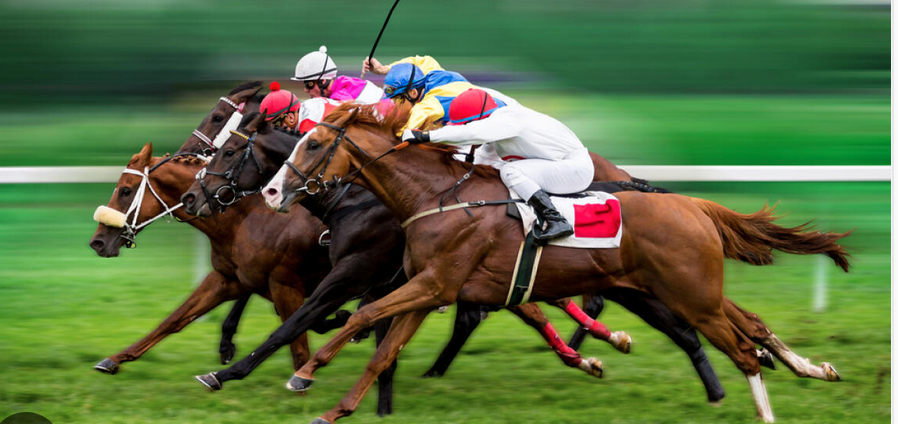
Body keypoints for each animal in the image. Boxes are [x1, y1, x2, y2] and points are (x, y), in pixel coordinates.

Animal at [263, 103, 849, 424]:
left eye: (313, 143)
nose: (270, 192)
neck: (438, 196)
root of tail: (693, 204)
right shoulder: (431, 289)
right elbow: (383, 351)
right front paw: (334, 409)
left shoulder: (434, 283)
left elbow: (363, 316)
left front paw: (306, 372)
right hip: (696, 290)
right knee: (754, 325)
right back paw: (814, 368)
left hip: (690, 295)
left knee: (744, 350)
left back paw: (768, 406)